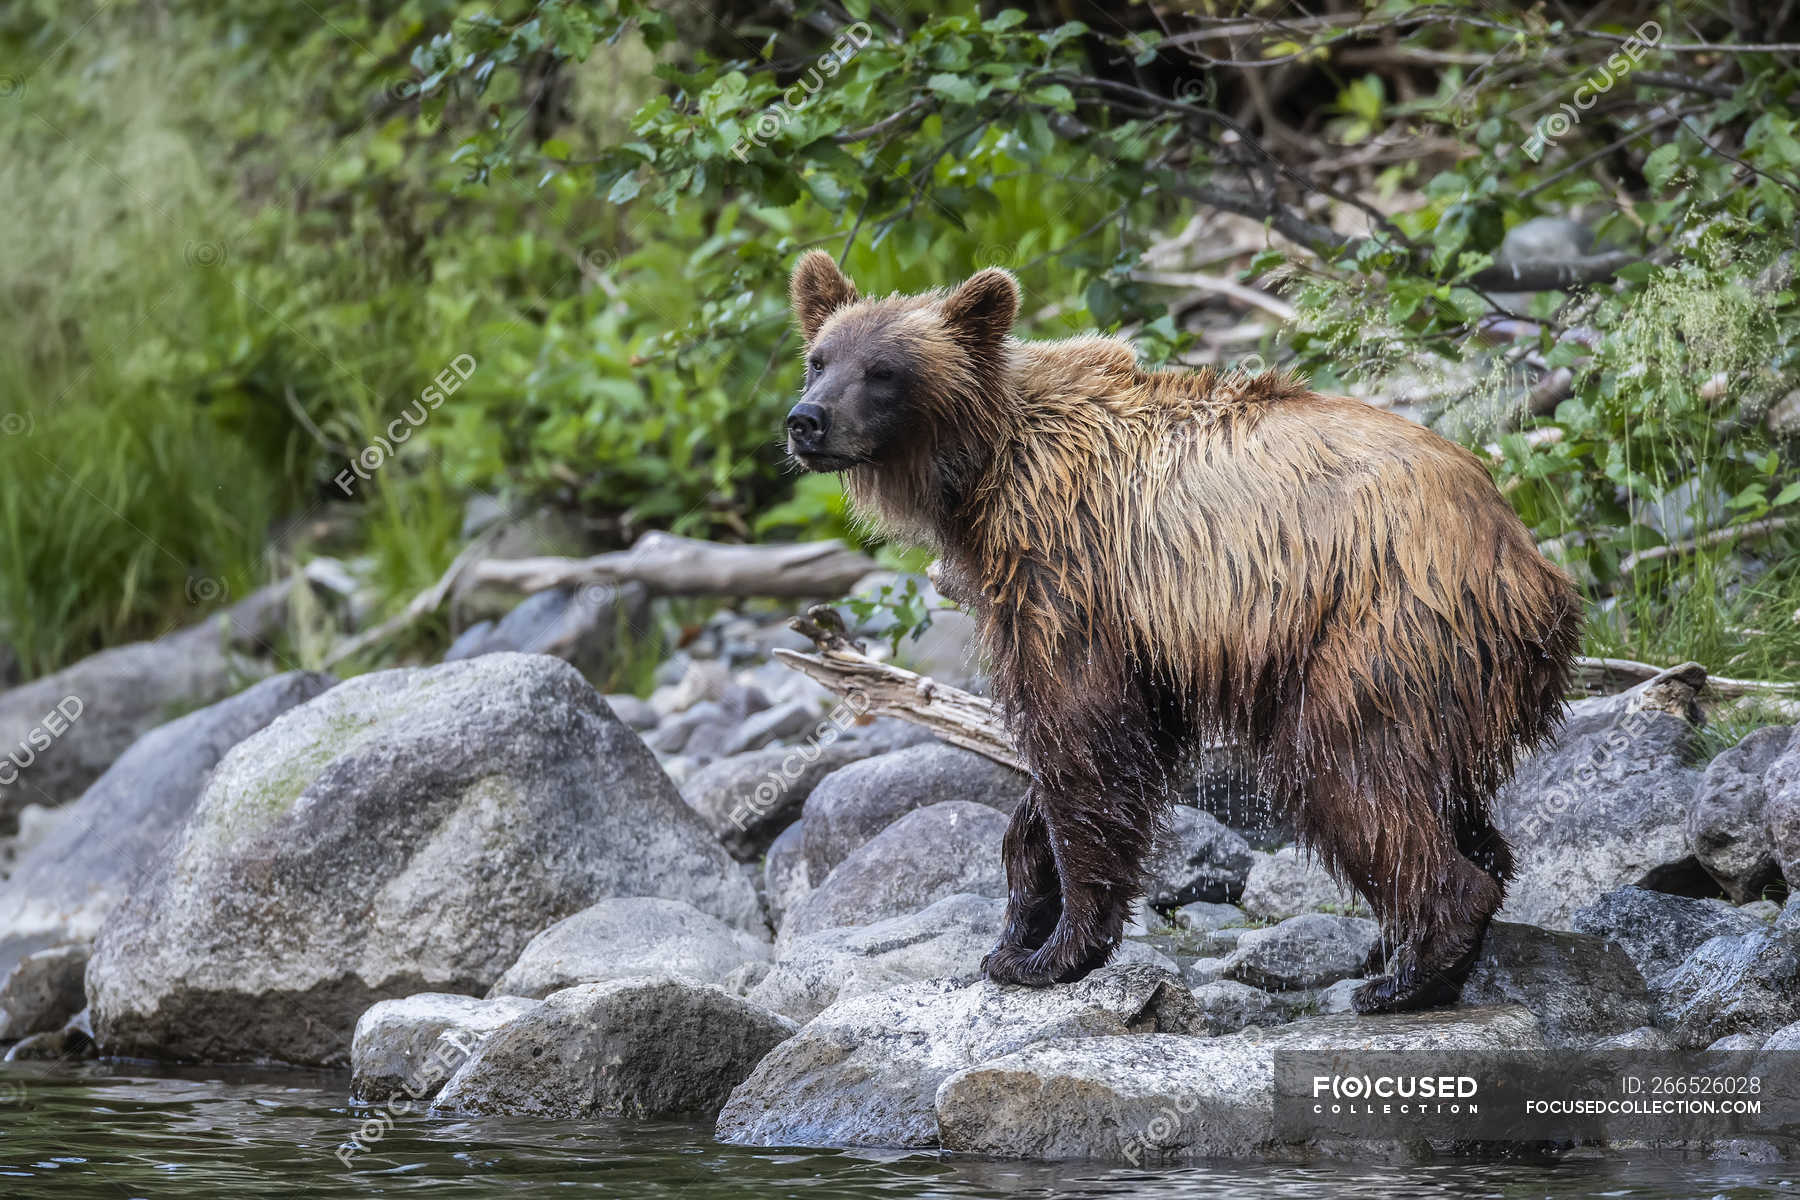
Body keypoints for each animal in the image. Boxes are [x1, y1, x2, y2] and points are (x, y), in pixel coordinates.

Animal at [782, 250, 1581, 1013]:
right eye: (820, 357)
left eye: (883, 371)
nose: (805, 420)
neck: (986, 474)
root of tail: (1530, 564)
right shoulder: (1122, 621)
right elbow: (1088, 754)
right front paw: (1015, 934)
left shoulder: (1069, 567)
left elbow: (1081, 738)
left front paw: (1054, 953)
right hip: (1460, 678)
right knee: (1447, 798)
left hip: (1381, 628)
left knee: (1349, 774)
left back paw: (1407, 974)